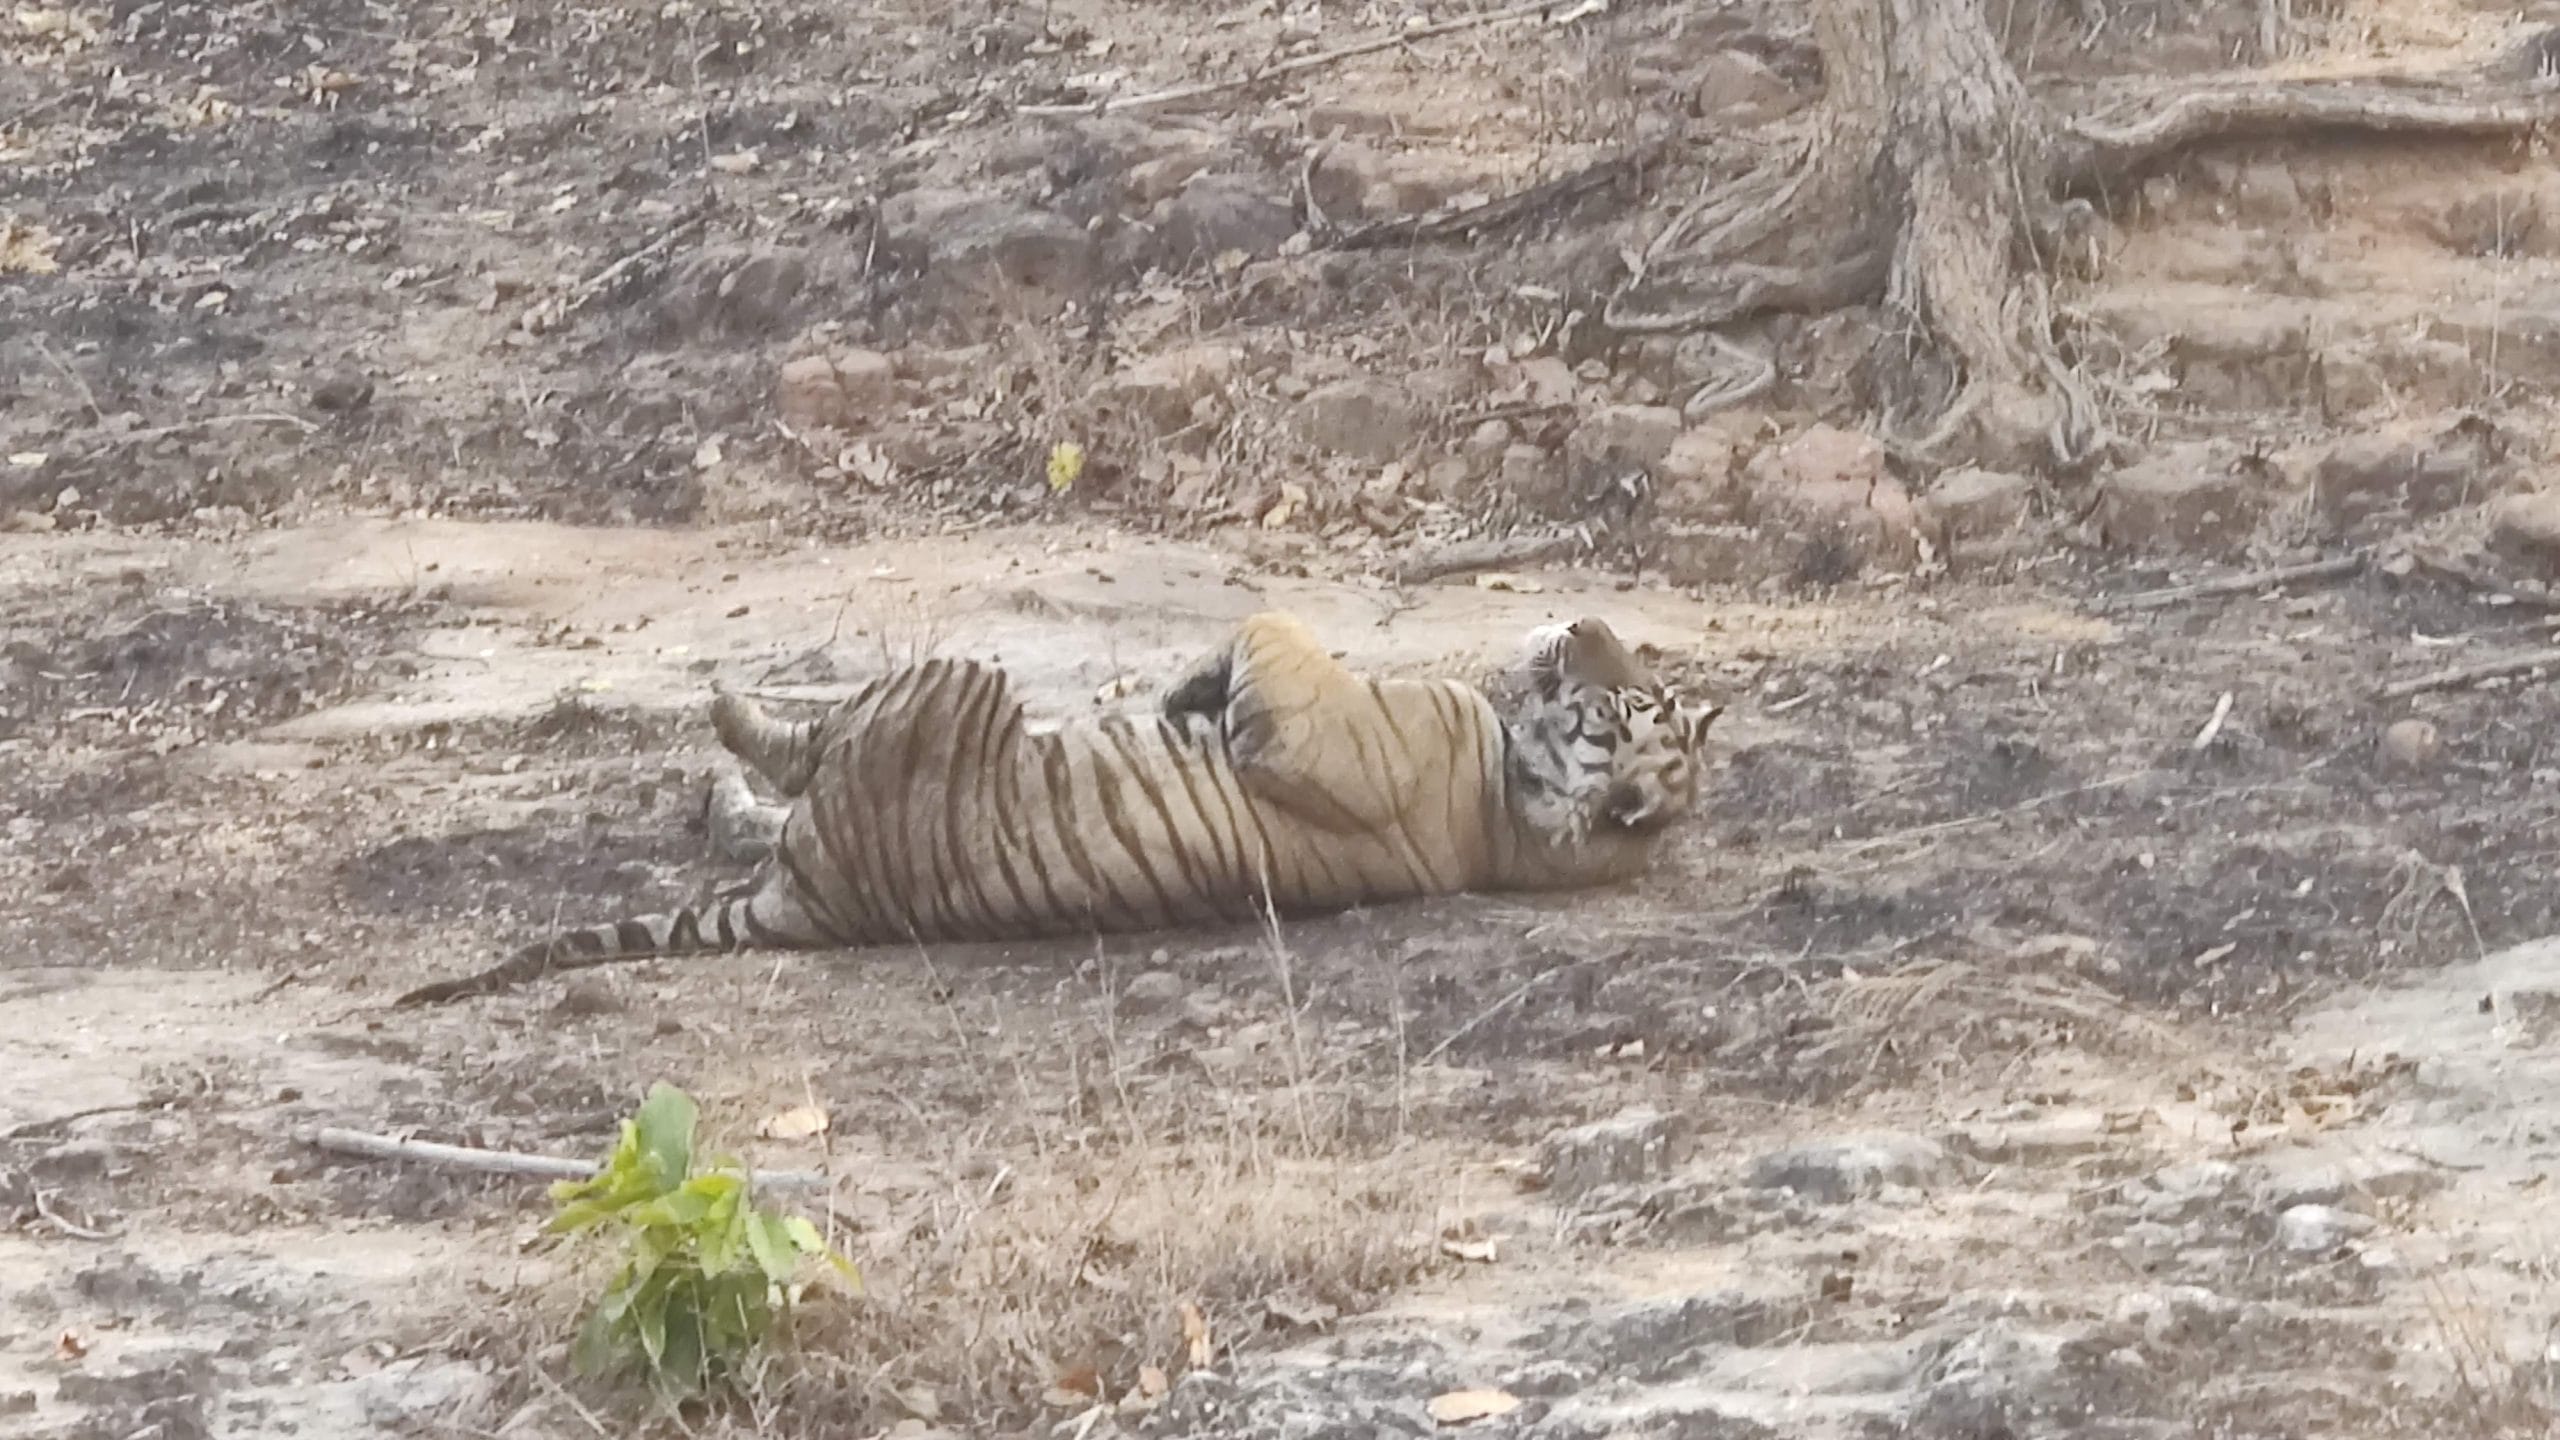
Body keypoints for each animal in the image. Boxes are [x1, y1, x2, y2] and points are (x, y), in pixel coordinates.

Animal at [395, 610, 1720, 1006]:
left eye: (1622, 702)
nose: (1576, 622)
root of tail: (808, 905)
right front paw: (1183, 688)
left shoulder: (1314, 721)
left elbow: (1270, 626)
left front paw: (1195, 685)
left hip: (945, 680)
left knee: (801, 747)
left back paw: (724, 717)